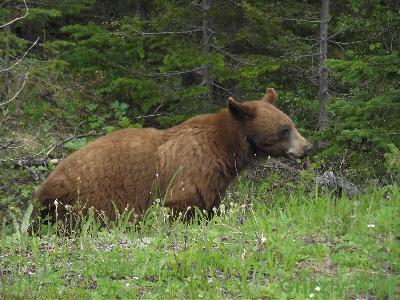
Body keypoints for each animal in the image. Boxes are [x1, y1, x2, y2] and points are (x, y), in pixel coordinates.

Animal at [36, 87, 312, 220]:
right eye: (284, 129)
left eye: (291, 124)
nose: (307, 147)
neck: (224, 147)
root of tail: (46, 184)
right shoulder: (193, 170)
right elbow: (182, 204)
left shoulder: (214, 180)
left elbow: (209, 206)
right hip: (91, 197)